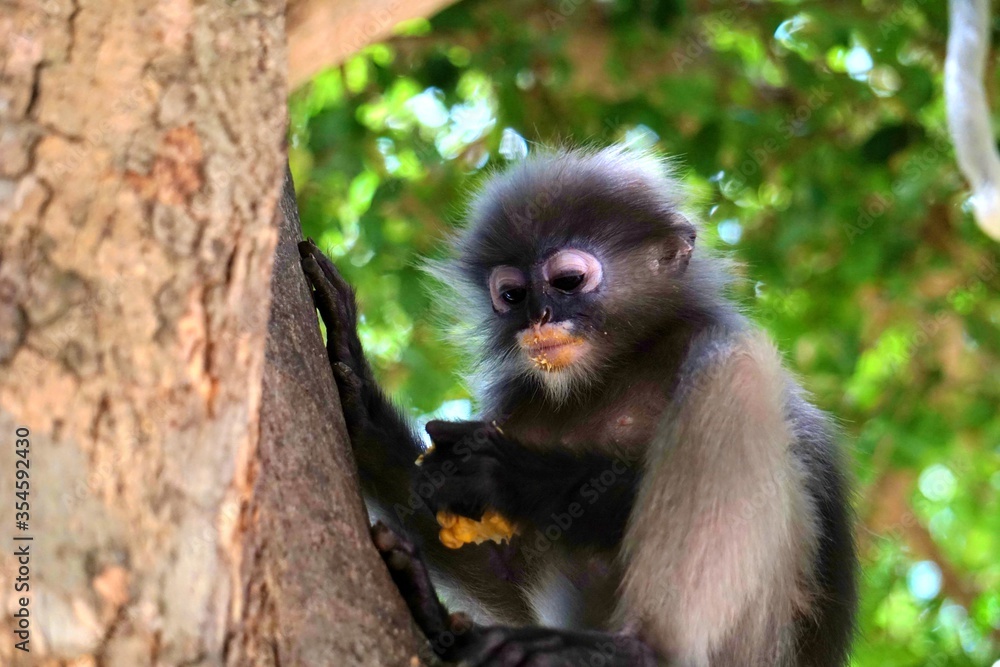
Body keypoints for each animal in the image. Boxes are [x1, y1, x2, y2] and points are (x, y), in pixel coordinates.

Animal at [299, 146, 857, 666]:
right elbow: (502, 574)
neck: (613, 373)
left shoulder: (708, 333)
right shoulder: (522, 403)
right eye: (512, 294)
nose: (539, 316)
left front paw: (511, 476)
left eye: (567, 281)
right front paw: (358, 398)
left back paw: (637, 650)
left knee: (733, 374)